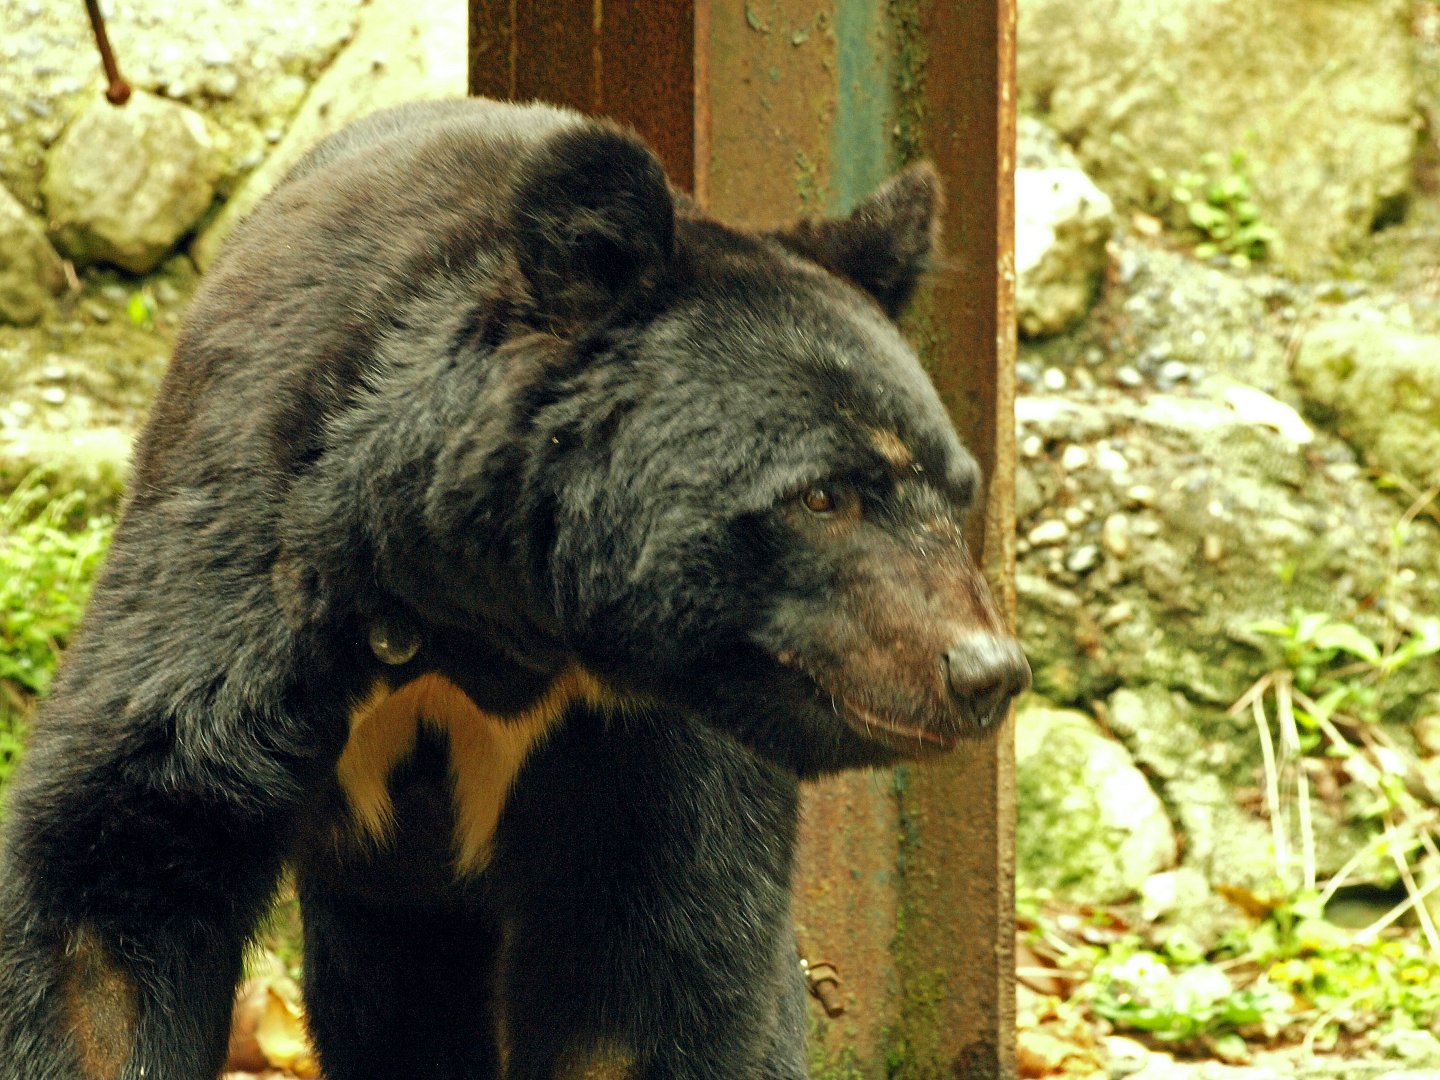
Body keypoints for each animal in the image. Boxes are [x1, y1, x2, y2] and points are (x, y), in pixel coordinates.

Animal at [0, 97, 1029, 1080]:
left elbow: (651, 966)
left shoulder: (645, 738)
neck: (491, 621)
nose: (985, 672)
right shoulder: (245, 562)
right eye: (824, 495)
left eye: (957, 493)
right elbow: (118, 881)